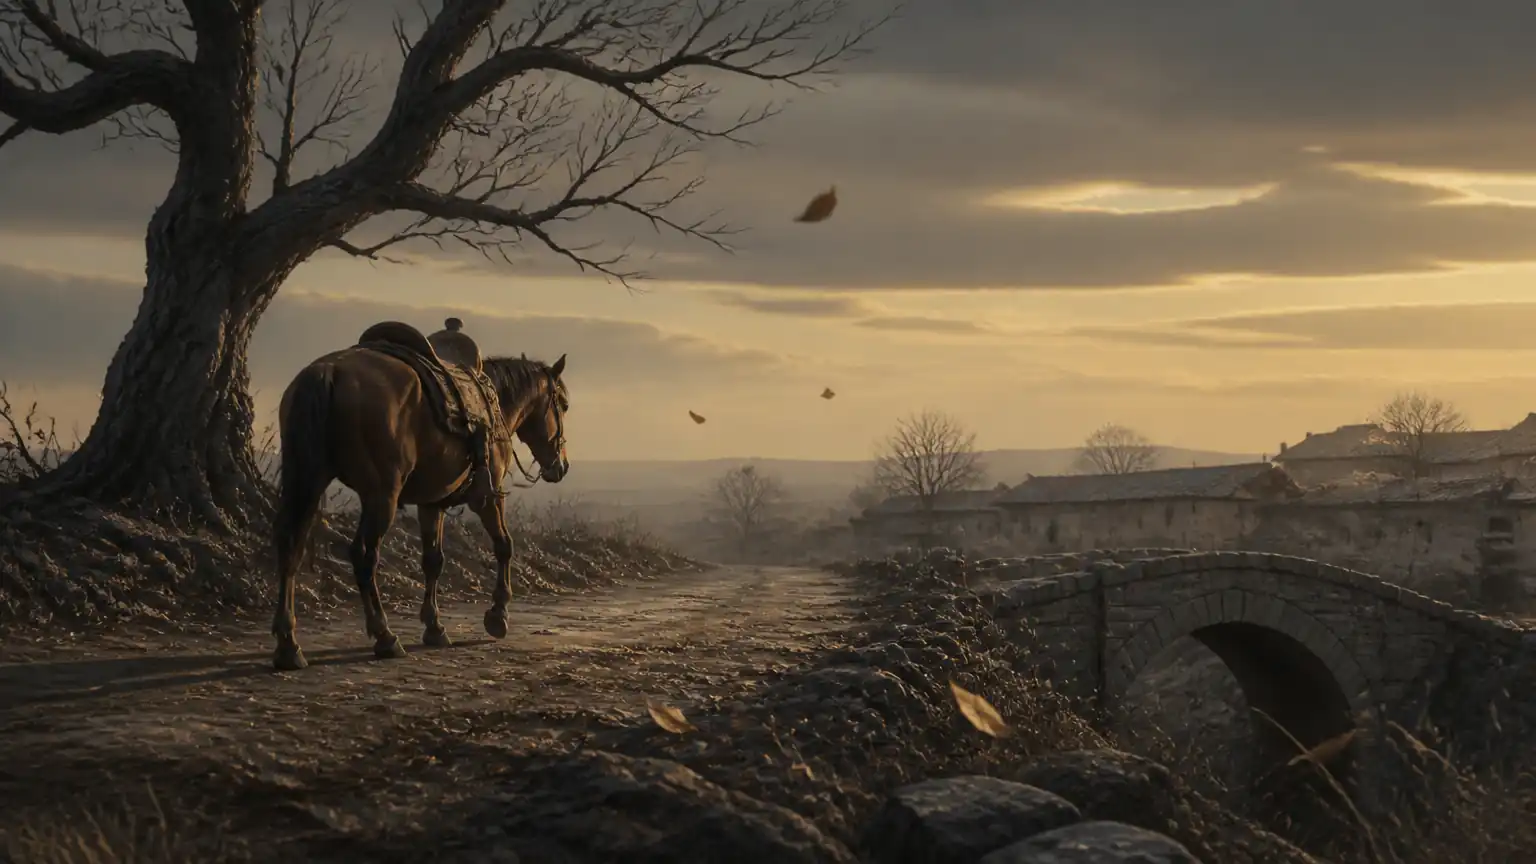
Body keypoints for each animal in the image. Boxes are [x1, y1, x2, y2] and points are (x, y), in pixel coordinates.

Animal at [268, 323, 570, 671]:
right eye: (563, 404)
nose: (561, 466)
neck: (494, 403)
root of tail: (329, 371)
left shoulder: (431, 504)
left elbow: (433, 561)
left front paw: (434, 626)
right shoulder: (489, 498)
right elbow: (504, 546)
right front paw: (498, 615)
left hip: (309, 482)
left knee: (291, 546)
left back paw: (288, 645)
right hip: (381, 495)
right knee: (363, 555)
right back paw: (384, 636)